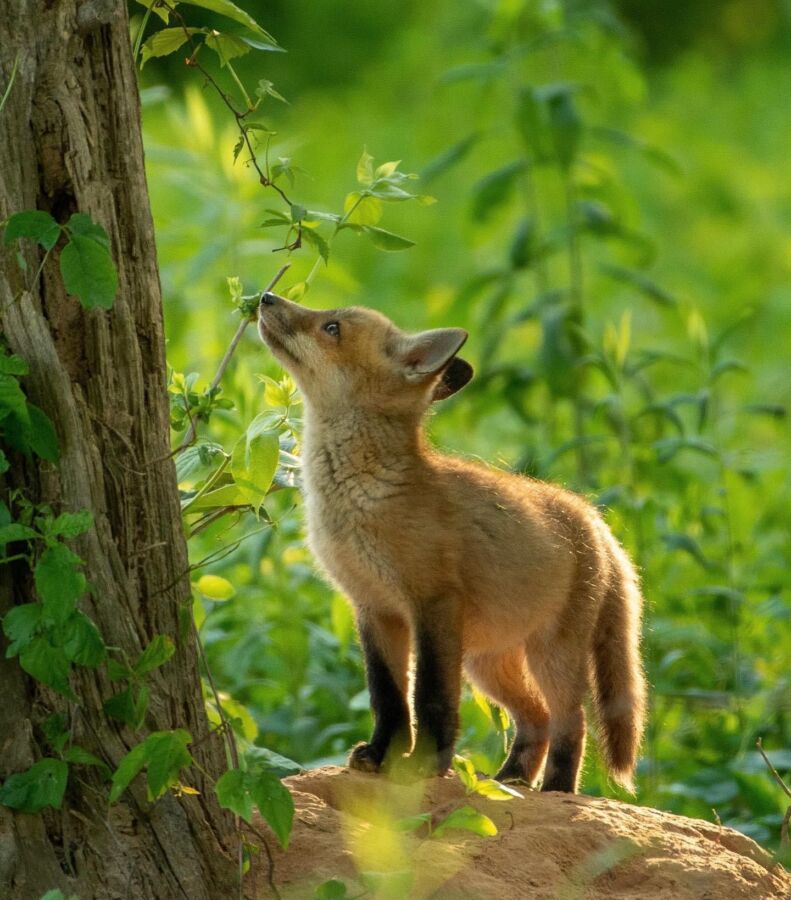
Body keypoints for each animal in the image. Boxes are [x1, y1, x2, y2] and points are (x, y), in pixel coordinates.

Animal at [257, 290, 647, 793]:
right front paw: (382, 755)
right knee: (536, 718)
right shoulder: (374, 607)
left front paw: (425, 765)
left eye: (332, 328)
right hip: (487, 664)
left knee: (571, 719)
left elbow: (431, 696)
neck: (362, 498)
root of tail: (594, 518)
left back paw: (557, 790)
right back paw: (510, 779)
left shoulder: (434, 602)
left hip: (549, 655)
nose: (265, 297)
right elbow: (387, 696)